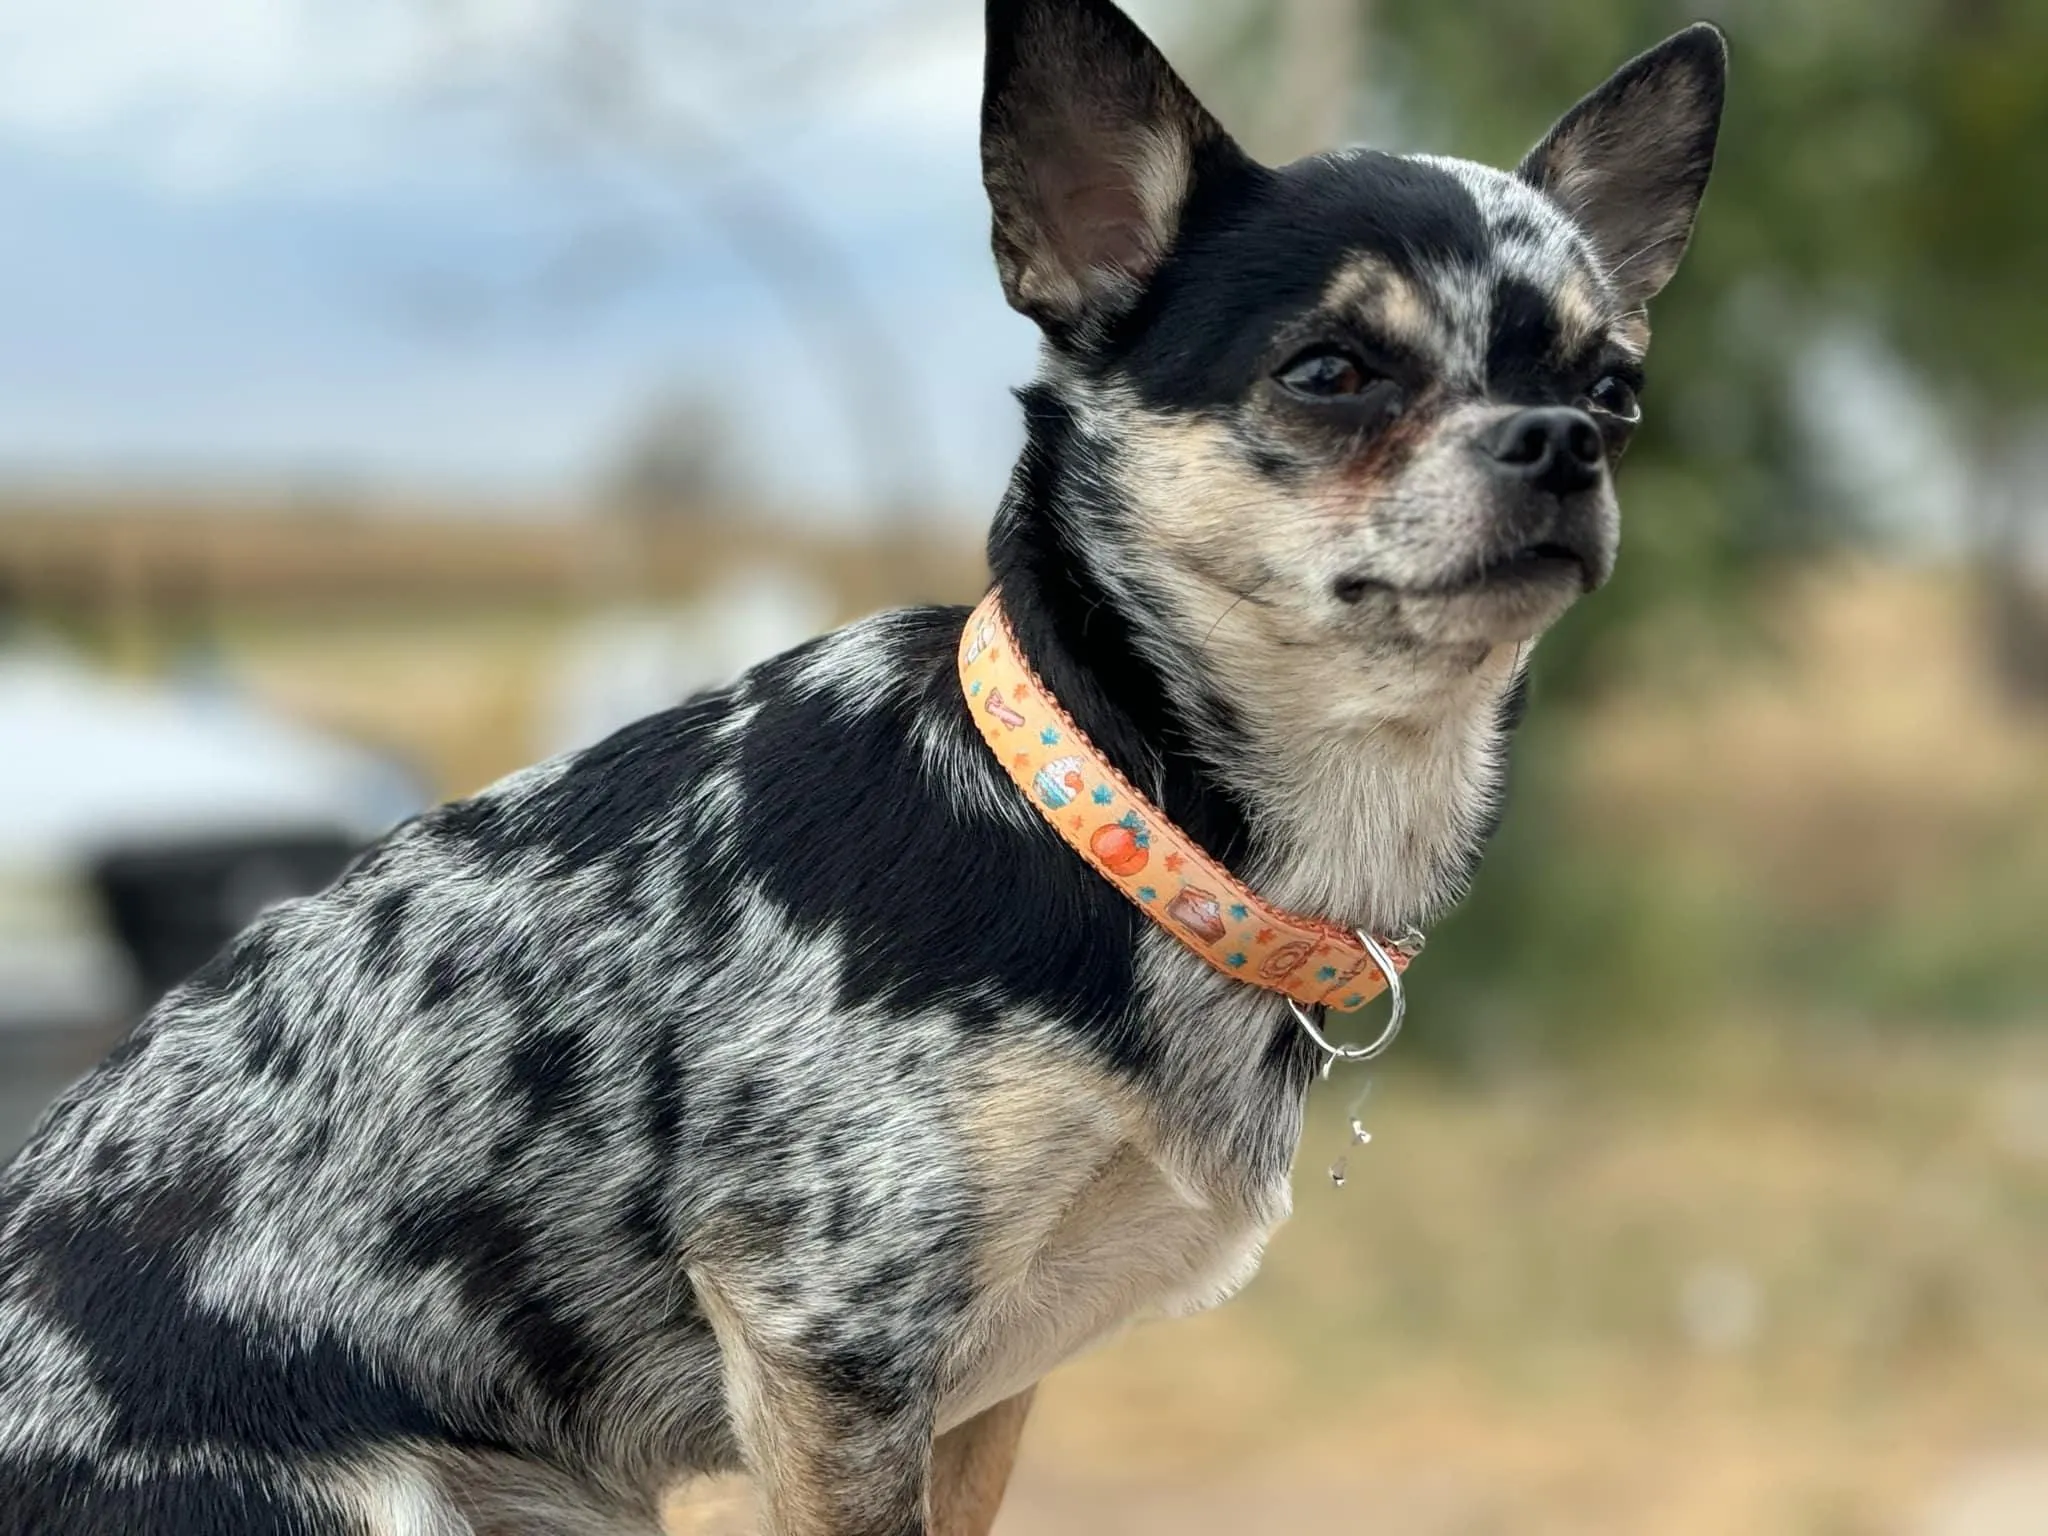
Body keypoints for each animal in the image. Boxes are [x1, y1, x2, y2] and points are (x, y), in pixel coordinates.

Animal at [0, 3, 1728, 1536]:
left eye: (1615, 389)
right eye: (1330, 372)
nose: (1561, 442)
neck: (1107, 817)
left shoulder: (973, 1397)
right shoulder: (831, 1349)